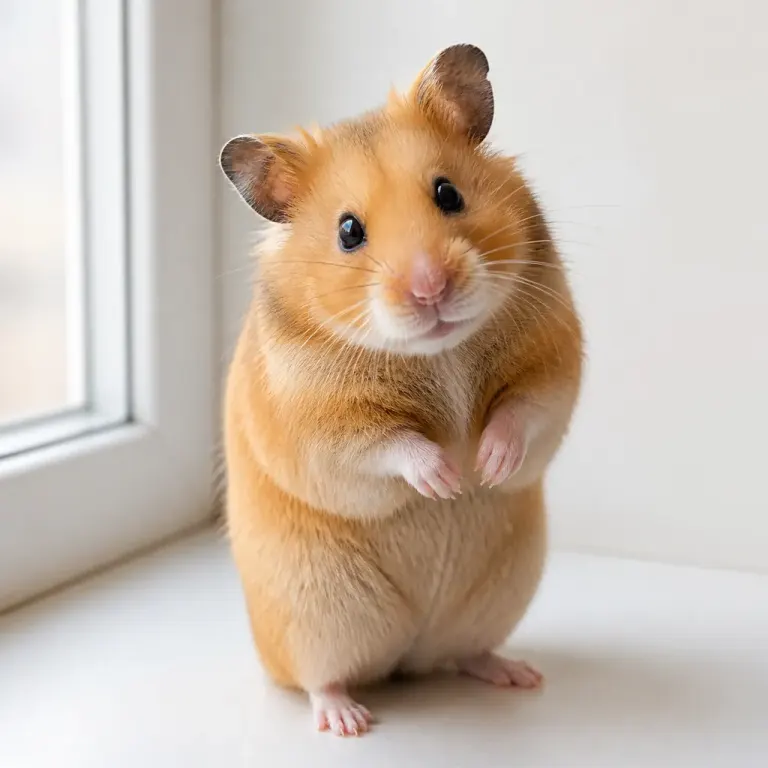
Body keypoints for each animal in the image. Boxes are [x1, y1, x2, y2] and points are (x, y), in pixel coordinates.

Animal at [221, 44, 582, 736]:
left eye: (448, 193)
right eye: (348, 232)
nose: (430, 288)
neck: (438, 353)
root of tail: (405, 661)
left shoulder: (553, 364)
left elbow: (522, 411)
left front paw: (487, 467)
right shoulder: (320, 425)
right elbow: (388, 444)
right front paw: (447, 480)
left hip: (499, 596)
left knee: (465, 654)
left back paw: (516, 674)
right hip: (317, 620)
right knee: (321, 679)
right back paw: (347, 720)